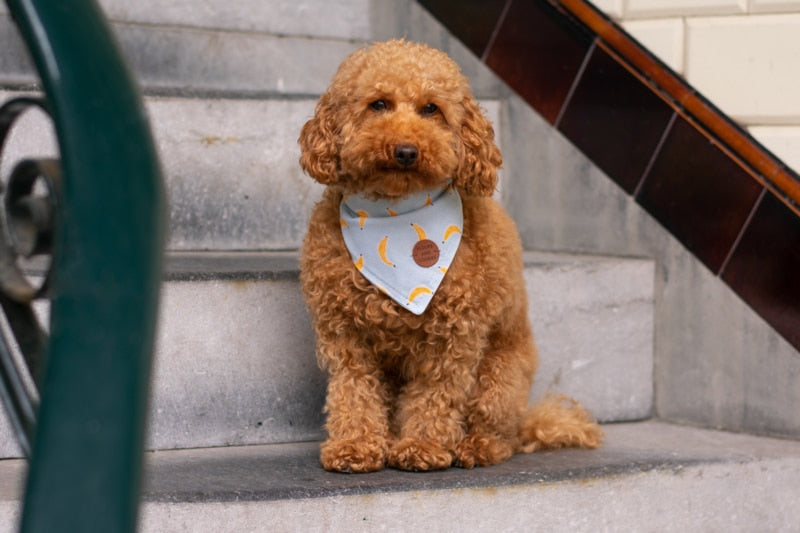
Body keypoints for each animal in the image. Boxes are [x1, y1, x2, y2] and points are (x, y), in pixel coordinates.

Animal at [298, 37, 600, 472]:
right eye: (378, 104)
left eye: (431, 109)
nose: (406, 151)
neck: (395, 214)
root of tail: (527, 419)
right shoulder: (345, 333)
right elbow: (353, 390)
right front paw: (355, 445)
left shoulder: (452, 336)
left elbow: (435, 395)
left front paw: (421, 447)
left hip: (500, 380)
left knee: (500, 432)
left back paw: (476, 446)